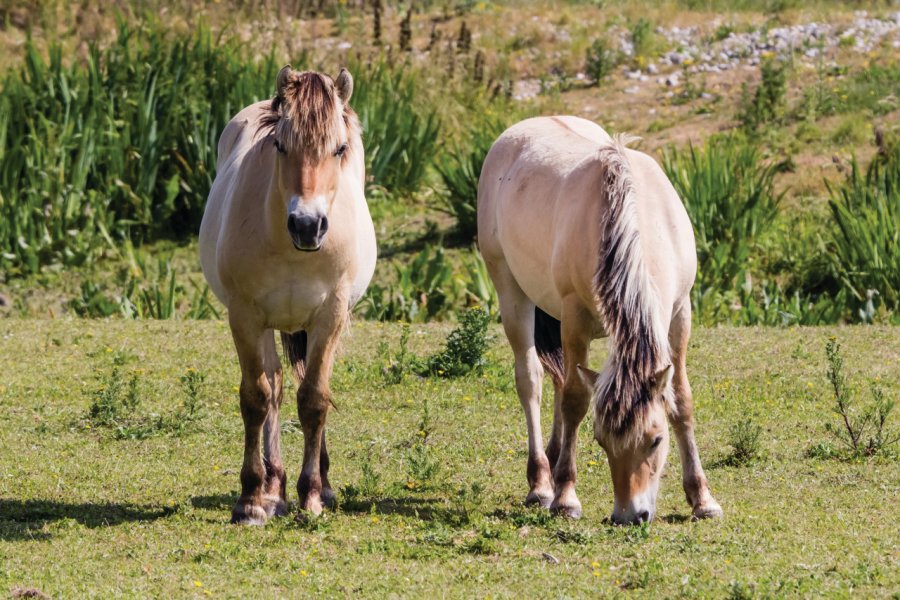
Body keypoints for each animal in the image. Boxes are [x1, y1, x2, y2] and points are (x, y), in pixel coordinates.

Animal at [200, 65, 376, 524]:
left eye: (339, 148)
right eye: (280, 145)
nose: (307, 225)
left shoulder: (330, 316)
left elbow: (315, 399)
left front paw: (312, 495)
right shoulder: (245, 316)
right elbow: (257, 398)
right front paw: (250, 499)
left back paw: (320, 486)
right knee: (276, 387)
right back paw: (273, 488)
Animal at [478, 115, 724, 524]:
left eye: (656, 440)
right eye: (601, 440)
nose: (629, 515)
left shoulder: (679, 313)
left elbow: (681, 401)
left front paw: (702, 499)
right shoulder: (574, 316)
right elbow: (576, 402)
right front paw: (566, 497)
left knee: (558, 380)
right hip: (511, 292)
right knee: (531, 381)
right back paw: (541, 482)